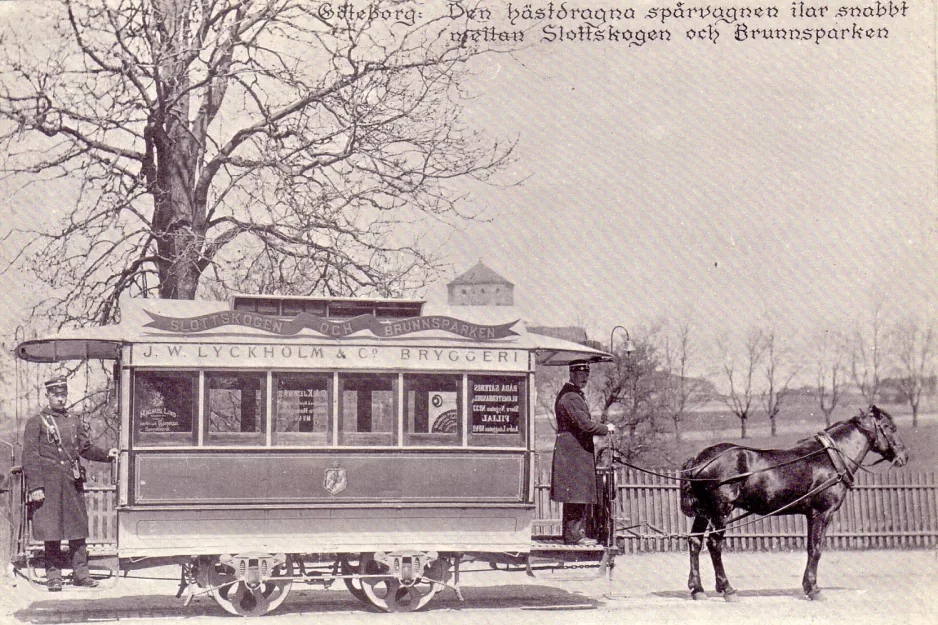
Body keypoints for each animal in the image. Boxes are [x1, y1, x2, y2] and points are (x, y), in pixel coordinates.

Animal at [680, 404, 908, 600]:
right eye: (890, 428)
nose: (904, 456)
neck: (831, 459)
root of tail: (698, 460)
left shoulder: (812, 515)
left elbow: (811, 548)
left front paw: (809, 586)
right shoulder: (822, 513)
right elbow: (816, 549)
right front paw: (813, 589)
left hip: (704, 512)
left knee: (695, 542)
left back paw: (697, 589)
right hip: (720, 512)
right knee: (714, 544)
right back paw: (727, 589)